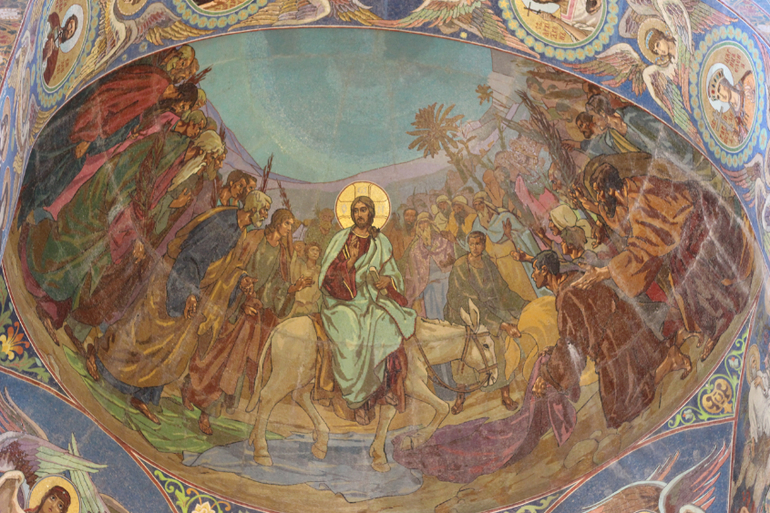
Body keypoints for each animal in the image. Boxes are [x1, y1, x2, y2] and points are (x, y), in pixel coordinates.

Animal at [245, 302, 498, 472]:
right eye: (486, 345)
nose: (494, 375)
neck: (416, 343)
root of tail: (278, 330)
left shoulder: (392, 392)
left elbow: (386, 419)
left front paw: (378, 456)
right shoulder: (412, 385)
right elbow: (442, 408)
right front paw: (413, 441)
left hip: (304, 378)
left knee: (299, 397)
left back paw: (320, 442)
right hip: (286, 375)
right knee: (267, 398)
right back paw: (261, 451)